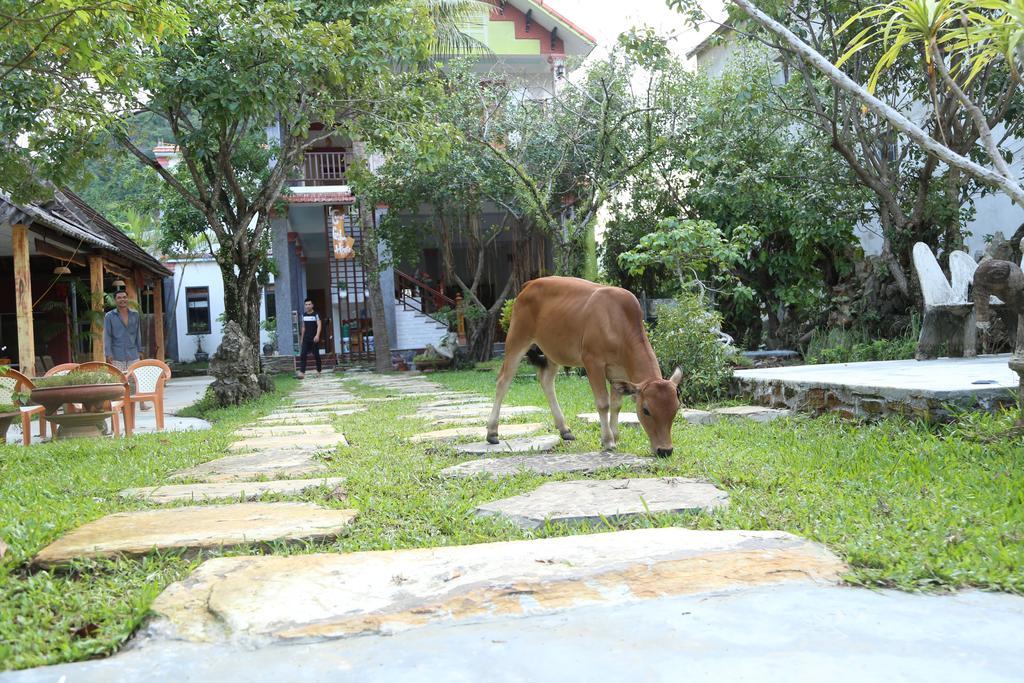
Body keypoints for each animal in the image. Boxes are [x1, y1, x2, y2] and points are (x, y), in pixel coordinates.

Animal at [485, 274, 679, 456]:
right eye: (646, 410)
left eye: (676, 408)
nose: (665, 450)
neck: (618, 322)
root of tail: (530, 284)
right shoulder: (592, 361)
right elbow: (603, 403)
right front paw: (608, 440)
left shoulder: (618, 372)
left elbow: (616, 405)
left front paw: (615, 436)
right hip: (517, 338)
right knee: (503, 380)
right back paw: (492, 432)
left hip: (554, 351)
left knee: (546, 381)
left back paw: (564, 429)